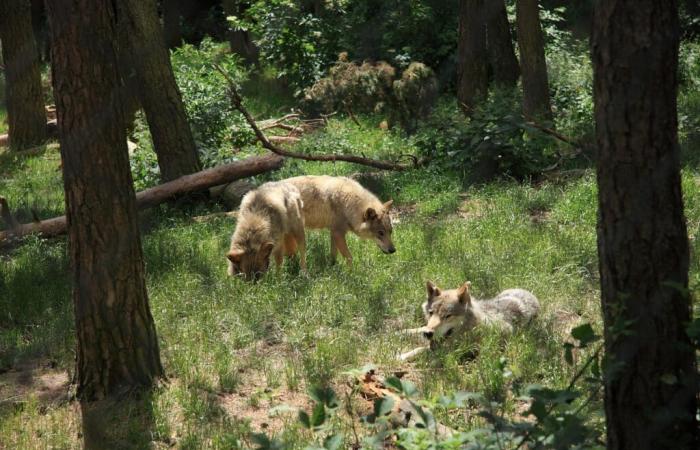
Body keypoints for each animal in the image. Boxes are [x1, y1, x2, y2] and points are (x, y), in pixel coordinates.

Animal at [400, 282, 540, 362]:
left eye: (448, 316)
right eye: (431, 313)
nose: (428, 333)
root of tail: (528, 292)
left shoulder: (506, 331)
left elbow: (427, 350)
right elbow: (421, 346)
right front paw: (403, 354)